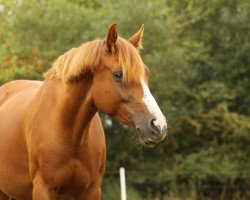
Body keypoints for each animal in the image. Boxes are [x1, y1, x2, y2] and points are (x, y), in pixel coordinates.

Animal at [0, 23, 168, 200]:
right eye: (118, 74)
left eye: (146, 73)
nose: (159, 125)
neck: (69, 133)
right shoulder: (43, 189)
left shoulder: (92, 190)